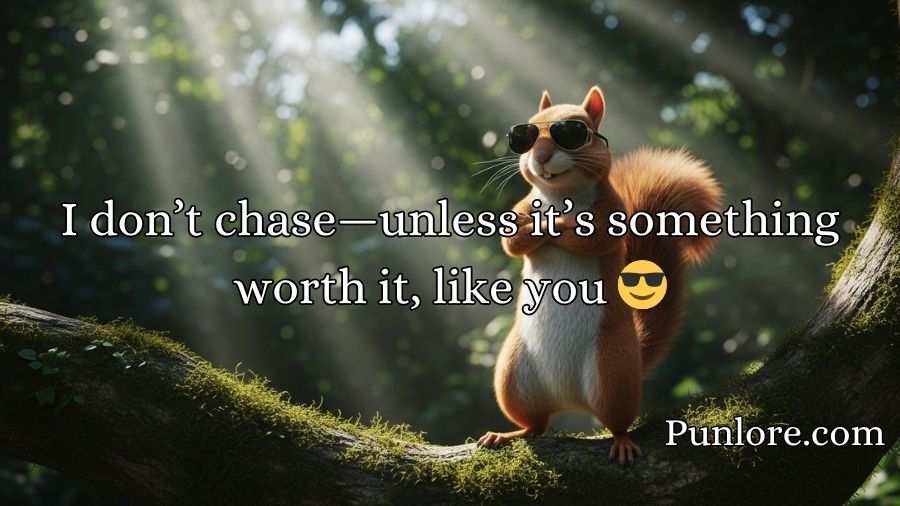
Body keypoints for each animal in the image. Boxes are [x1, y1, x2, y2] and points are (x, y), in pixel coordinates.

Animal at [477, 86, 722, 464]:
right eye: (525, 135)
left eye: (576, 131)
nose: (542, 156)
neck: (561, 196)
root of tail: (569, 399)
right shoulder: (521, 209)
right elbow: (513, 242)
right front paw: (539, 226)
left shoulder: (610, 211)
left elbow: (592, 238)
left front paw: (558, 224)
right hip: (513, 377)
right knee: (536, 425)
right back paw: (507, 434)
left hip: (612, 372)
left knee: (616, 422)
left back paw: (621, 442)